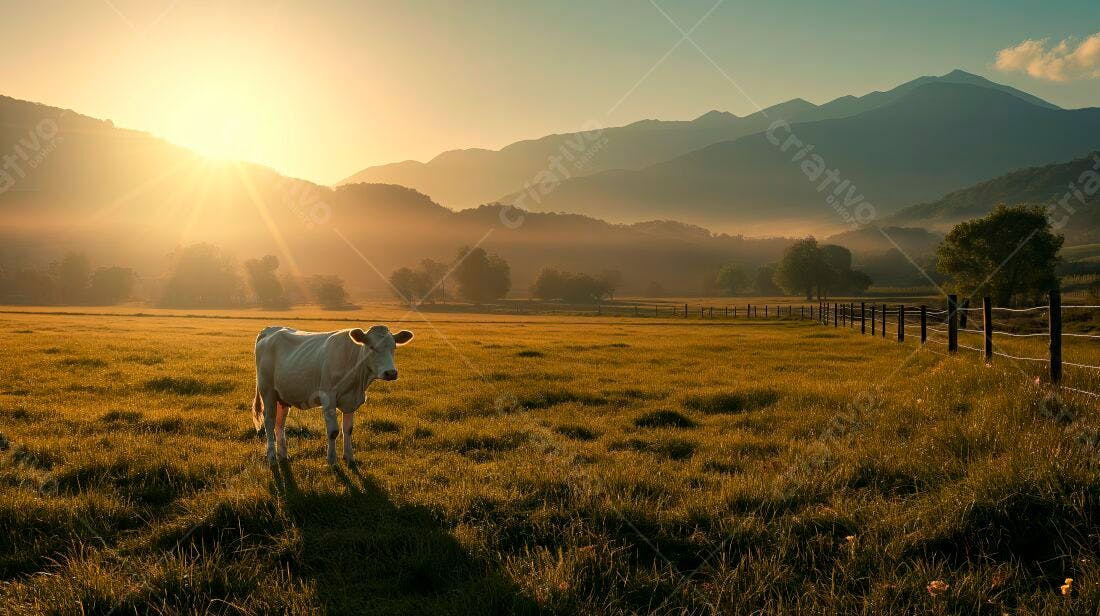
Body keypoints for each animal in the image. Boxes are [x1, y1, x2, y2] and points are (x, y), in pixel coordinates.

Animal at [252, 325, 414, 464]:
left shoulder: (351, 401)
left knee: (280, 423)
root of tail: (270, 329)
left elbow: (348, 429)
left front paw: (349, 457)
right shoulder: (328, 398)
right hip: (267, 391)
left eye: (394, 347)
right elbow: (333, 431)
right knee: (269, 421)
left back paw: (283, 455)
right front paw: (331, 460)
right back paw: (272, 457)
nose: (391, 373)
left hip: (283, 396)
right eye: (372, 347)